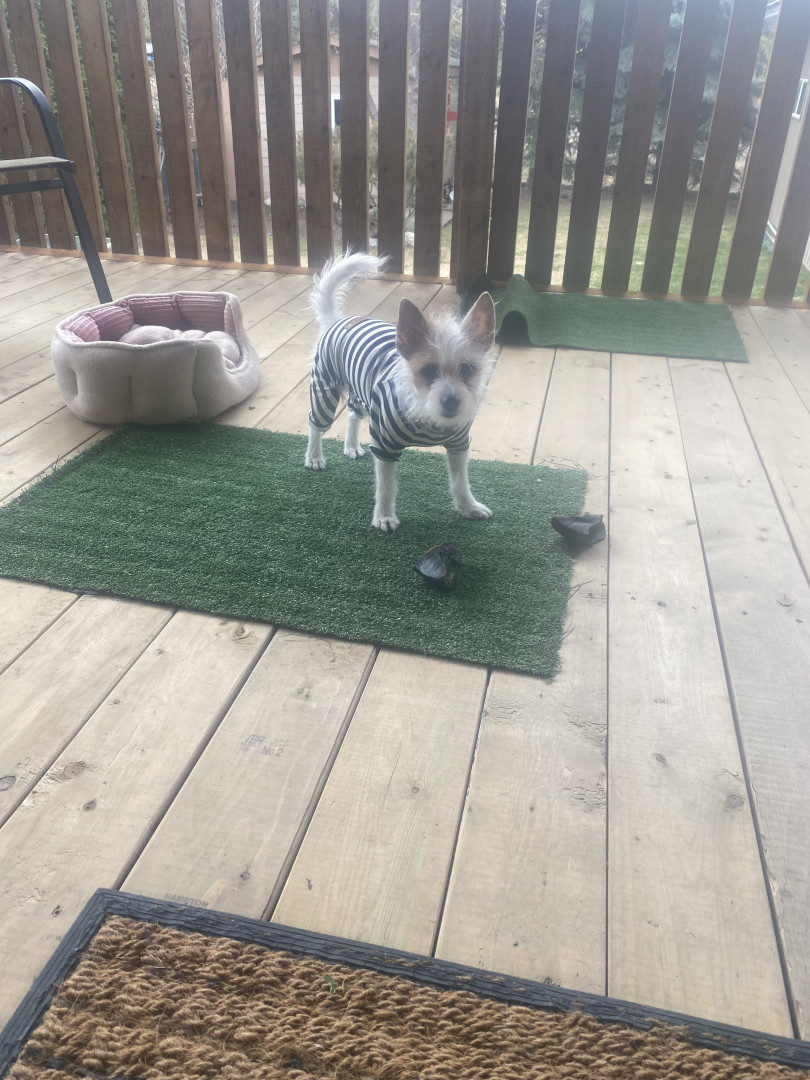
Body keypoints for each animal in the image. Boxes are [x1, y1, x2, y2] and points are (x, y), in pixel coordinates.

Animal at [305, 252, 496, 532]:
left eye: (467, 369)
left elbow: (461, 481)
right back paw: (314, 457)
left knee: (352, 415)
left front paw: (468, 507)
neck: (427, 418)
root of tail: (337, 319)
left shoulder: (459, 444)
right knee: (316, 427)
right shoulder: (385, 447)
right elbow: (386, 487)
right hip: (324, 389)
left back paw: (351, 446)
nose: (451, 401)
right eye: (428, 372)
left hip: (360, 394)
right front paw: (384, 517)